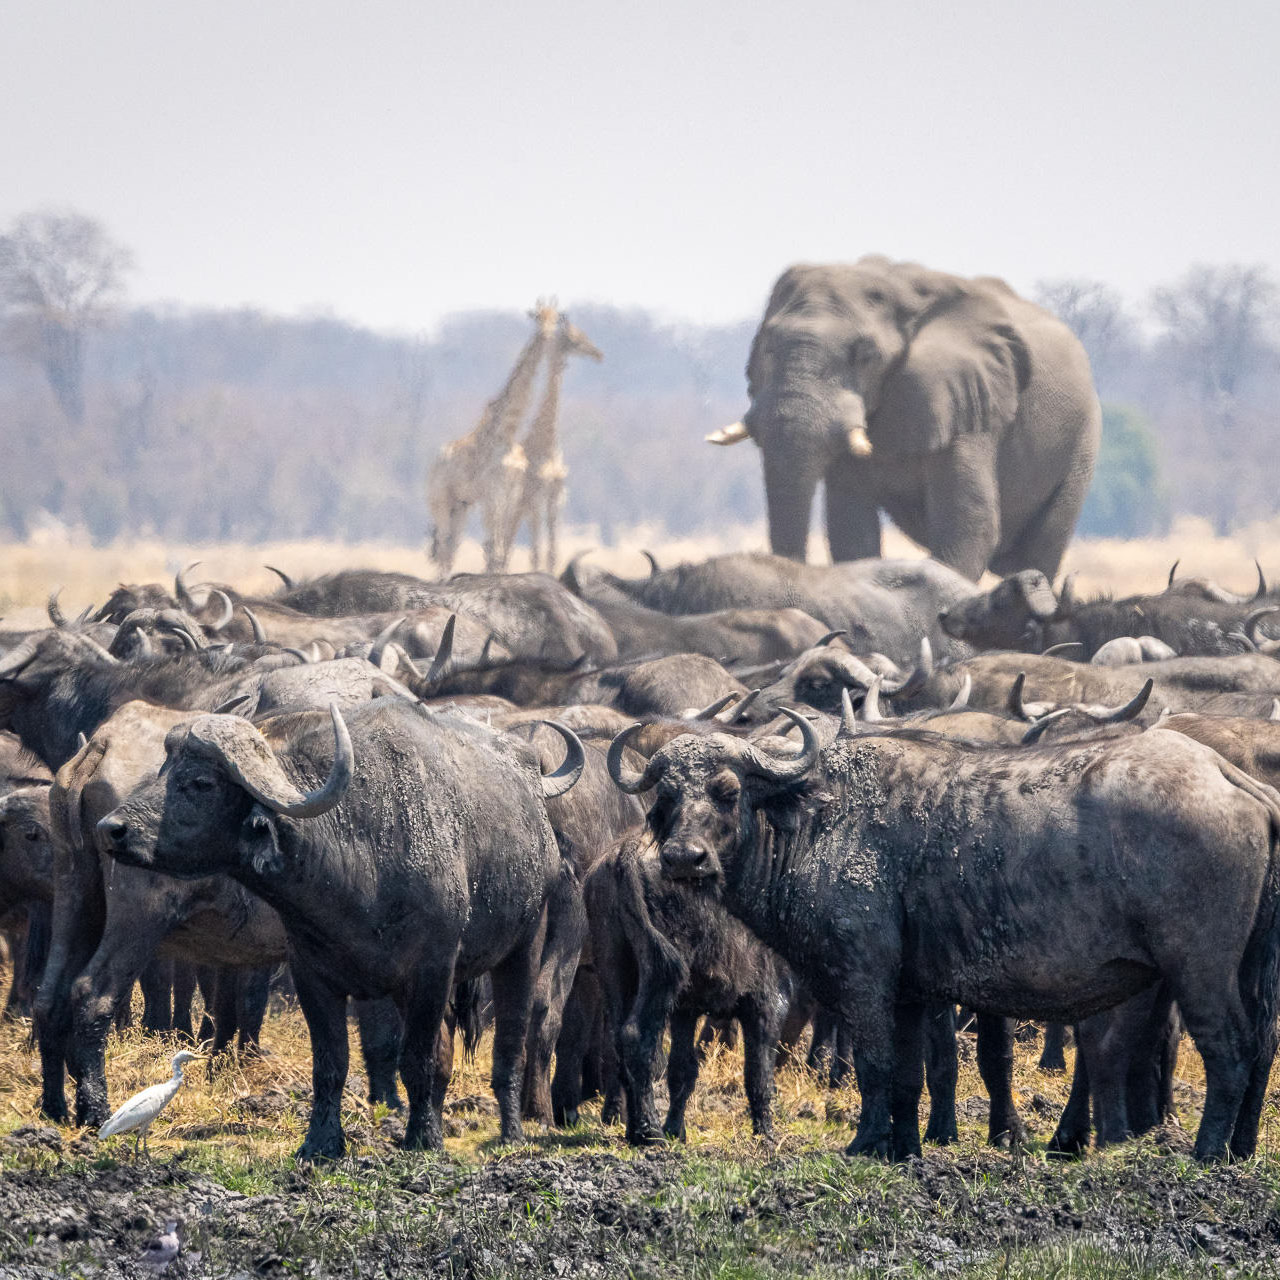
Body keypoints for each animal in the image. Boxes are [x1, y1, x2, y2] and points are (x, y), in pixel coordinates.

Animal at [427, 302, 558, 573]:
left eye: (556, 319)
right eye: (538, 318)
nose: (547, 334)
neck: (507, 433)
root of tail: (434, 462)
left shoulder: (512, 490)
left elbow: (498, 548)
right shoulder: (492, 492)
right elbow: (494, 548)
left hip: (461, 505)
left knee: (451, 548)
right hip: (439, 500)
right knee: (444, 546)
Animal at [494, 312, 604, 573]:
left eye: (584, 334)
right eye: (574, 339)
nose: (599, 354)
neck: (549, 445)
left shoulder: (557, 495)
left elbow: (553, 553)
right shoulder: (535, 497)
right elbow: (536, 554)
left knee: (507, 548)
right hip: (514, 507)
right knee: (505, 548)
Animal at [711, 257, 1100, 578]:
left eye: (864, 355)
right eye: (768, 346)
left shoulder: (969, 403)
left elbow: (967, 525)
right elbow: (850, 527)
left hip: (1082, 442)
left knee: (1037, 555)